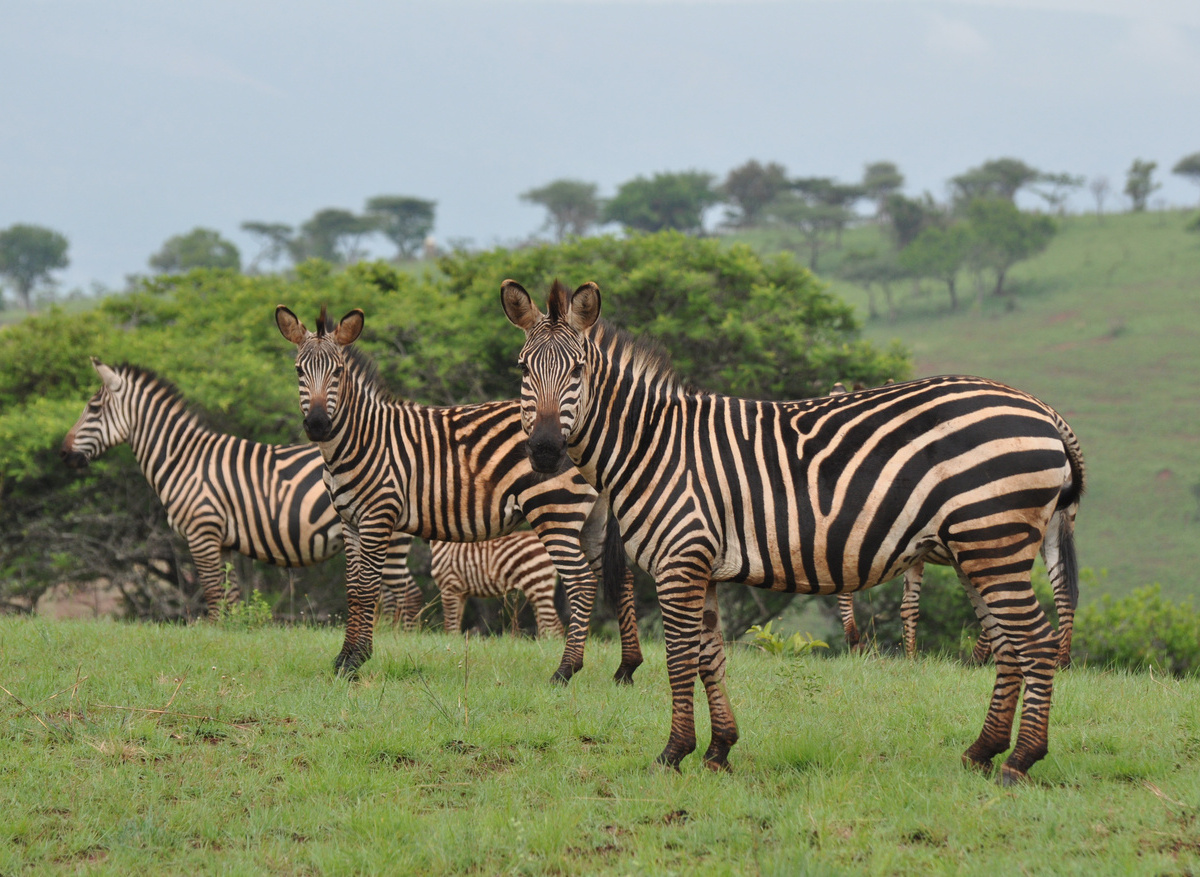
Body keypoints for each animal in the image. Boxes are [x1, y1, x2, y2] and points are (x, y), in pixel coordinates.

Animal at [60, 358, 420, 622]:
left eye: (93, 408)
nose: (63, 454)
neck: (181, 458)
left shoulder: (201, 532)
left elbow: (213, 593)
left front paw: (213, 634)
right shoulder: (222, 541)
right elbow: (230, 596)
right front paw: (230, 634)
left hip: (386, 534)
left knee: (407, 594)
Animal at [430, 532, 564, 638]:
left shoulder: (449, 587)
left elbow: (450, 627)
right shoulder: (461, 593)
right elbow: (456, 626)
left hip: (538, 583)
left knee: (555, 627)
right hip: (536, 588)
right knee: (546, 627)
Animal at [828, 381, 1075, 666]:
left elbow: (905, 604)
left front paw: (899, 654)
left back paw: (980, 659)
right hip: (1051, 528)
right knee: (1062, 592)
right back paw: (1060, 661)